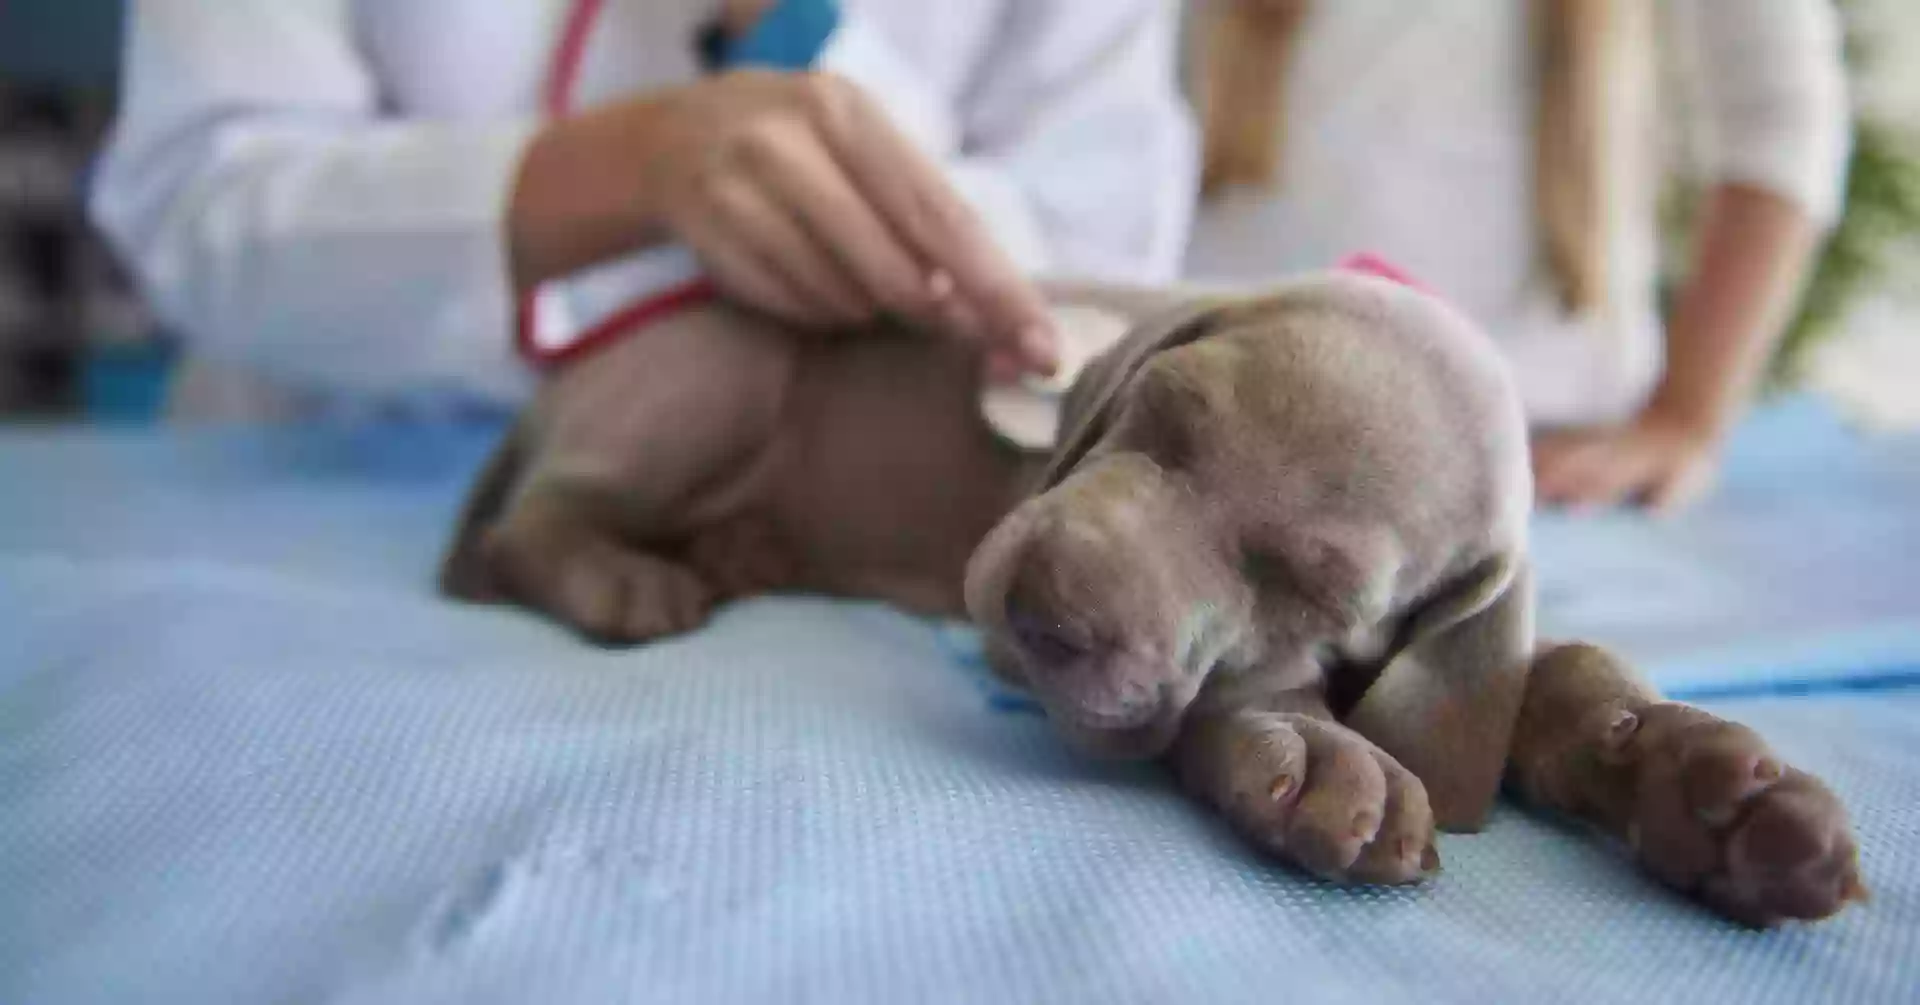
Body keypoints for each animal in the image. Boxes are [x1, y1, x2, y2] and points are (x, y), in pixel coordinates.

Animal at [445, 269, 1858, 930]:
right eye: (1158, 419)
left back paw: (738, 550)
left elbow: (1541, 674)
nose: (1042, 613)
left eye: (1316, 582)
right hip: (719, 373)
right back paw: (628, 577)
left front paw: (1711, 790)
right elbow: (1236, 703)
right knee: (529, 527)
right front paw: (1313, 752)